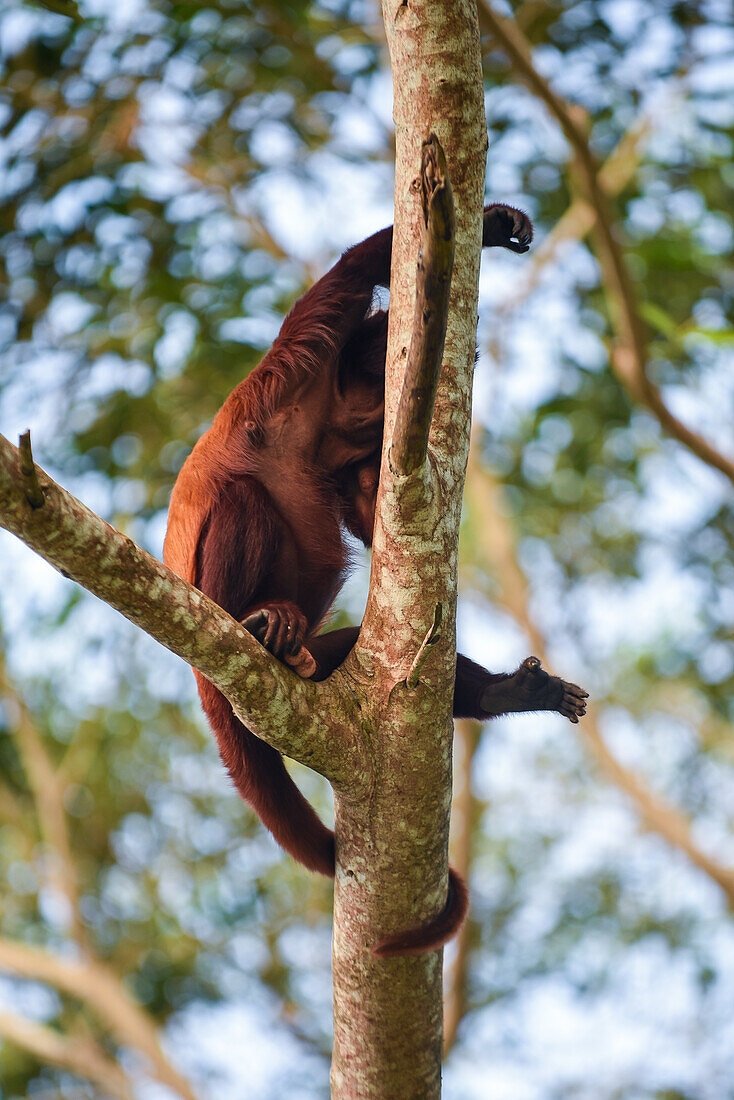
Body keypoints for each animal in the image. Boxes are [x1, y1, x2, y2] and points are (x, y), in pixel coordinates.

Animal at [163, 204, 589, 954]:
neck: (319, 421)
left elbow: (373, 510)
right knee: (244, 501)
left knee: (374, 660)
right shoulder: (293, 361)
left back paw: (506, 692)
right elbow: (347, 275)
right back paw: (257, 621)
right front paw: (489, 222)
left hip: (331, 671)